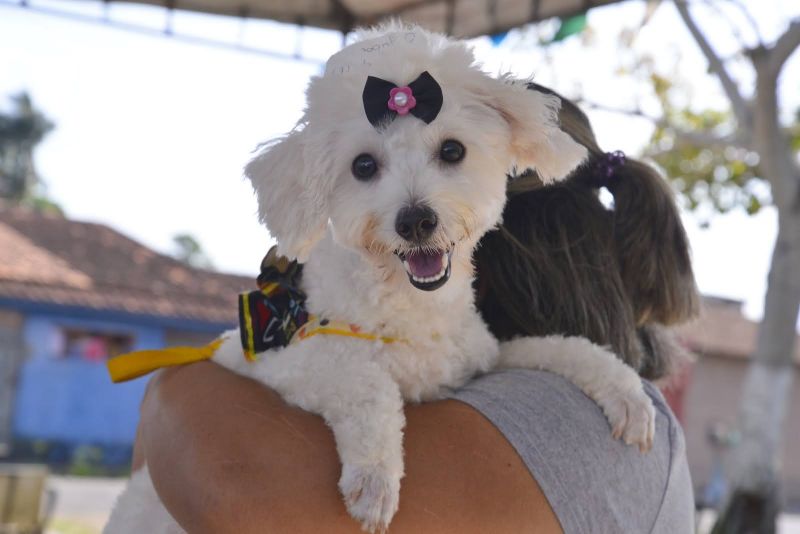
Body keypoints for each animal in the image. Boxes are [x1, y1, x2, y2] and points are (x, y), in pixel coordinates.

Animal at [104, 23, 656, 532]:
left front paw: (626, 393)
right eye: (364, 165)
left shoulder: (479, 360)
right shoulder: (290, 365)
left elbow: (559, 345)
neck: (410, 317)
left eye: (452, 151)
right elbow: (366, 380)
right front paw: (373, 477)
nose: (415, 221)